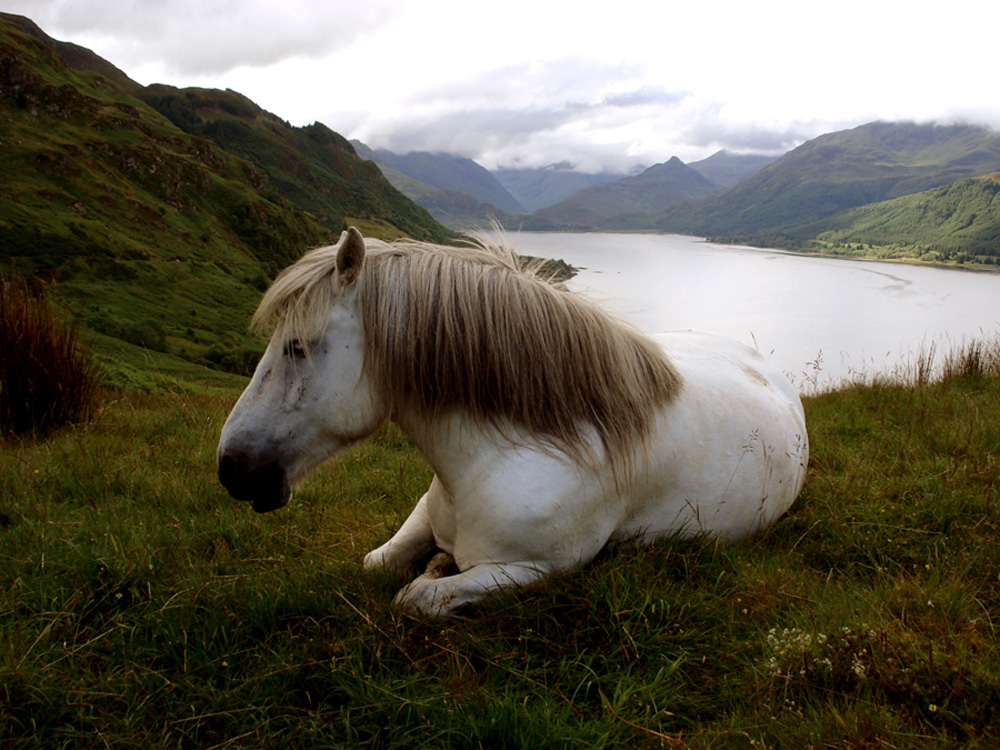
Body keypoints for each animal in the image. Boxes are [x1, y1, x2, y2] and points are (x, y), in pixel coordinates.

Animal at [215, 226, 808, 620]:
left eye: (297, 346)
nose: (231, 468)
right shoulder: (424, 516)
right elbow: (376, 563)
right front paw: (431, 560)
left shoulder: (536, 569)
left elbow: (417, 598)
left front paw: (434, 571)